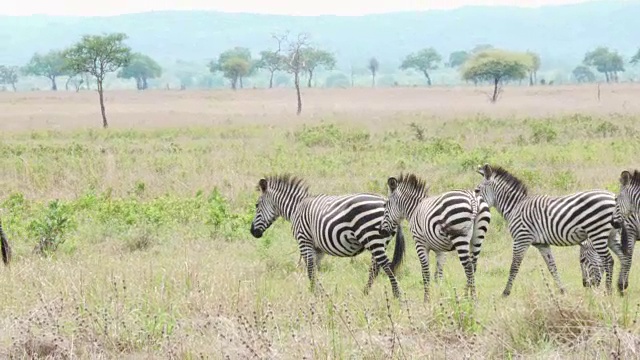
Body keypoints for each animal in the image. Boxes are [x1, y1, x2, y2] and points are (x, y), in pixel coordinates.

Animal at [250, 175, 404, 298]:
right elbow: (315, 269)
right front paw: (318, 292)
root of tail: (386, 202)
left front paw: (315, 293)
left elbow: (310, 269)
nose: (252, 232)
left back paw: (396, 295)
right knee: (375, 268)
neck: (296, 209)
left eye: (256, 205)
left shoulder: (304, 240)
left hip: (373, 238)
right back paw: (365, 293)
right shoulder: (317, 247)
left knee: (386, 266)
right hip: (379, 241)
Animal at [472, 165, 628, 296]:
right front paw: (562, 290)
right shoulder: (542, 244)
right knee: (623, 257)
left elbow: (514, 266)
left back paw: (609, 291)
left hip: (597, 233)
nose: (586, 285)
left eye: (477, 190)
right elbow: (552, 266)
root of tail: (613, 198)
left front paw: (506, 292)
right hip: (611, 235)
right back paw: (621, 287)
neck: (515, 207)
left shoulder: (521, 239)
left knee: (608, 260)